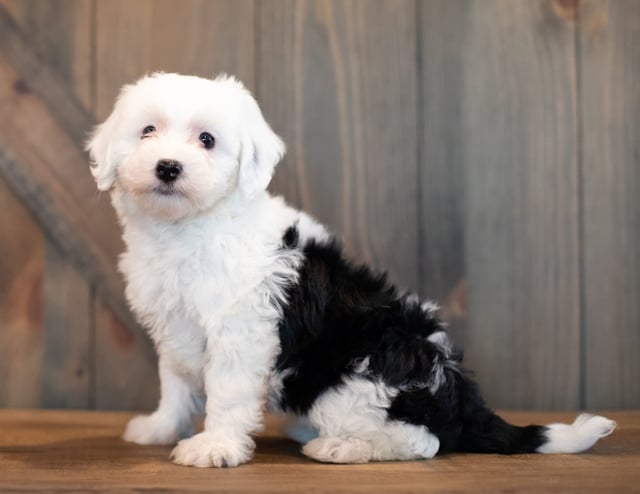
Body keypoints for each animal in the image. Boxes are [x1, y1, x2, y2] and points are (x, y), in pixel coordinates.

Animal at [86, 72, 616, 466]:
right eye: (147, 131)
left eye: (207, 140)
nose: (168, 167)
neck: (189, 229)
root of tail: (459, 392)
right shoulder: (174, 326)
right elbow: (175, 383)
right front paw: (160, 426)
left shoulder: (241, 330)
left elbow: (227, 392)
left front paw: (216, 446)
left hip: (354, 374)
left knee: (425, 441)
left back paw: (339, 446)